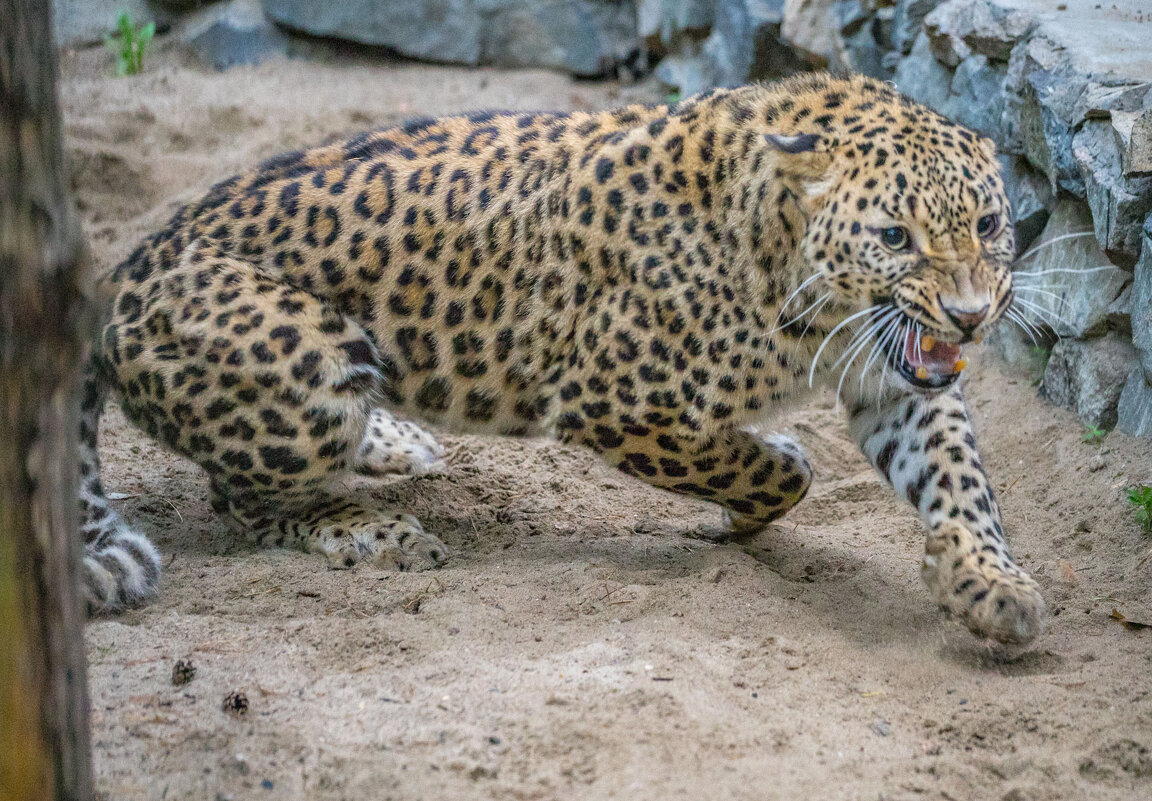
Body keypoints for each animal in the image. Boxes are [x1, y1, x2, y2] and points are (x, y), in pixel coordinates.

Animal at [81, 73, 1050, 645]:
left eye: (989, 224)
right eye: (895, 237)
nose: (970, 317)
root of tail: (116, 277)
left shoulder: (900, 379)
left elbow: (957, 475)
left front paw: (986, 583)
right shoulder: (617, 402)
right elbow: (772, 469)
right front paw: (749, 500)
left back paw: (394, 439)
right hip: (306, 367)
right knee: (242, 499)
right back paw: (371, 528)